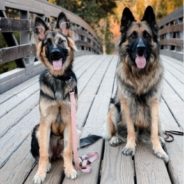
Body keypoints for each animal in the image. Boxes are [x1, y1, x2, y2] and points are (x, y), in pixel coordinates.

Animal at [30, 12, 77, 183]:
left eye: (61, 42)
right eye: (47, 44)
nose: (55, 53)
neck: (58, 79)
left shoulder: (70, 120)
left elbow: (68, 150)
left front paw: (69, 169)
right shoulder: (45, 122)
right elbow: (43, 153)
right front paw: (40, 173)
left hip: (76, 130)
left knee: (65, 152)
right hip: (37, 130)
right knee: (42, 155)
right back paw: (47, 165)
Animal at [106, 5, 168, 162]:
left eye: (146, 35)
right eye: (132, 36)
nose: (141, 49)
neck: (140, 74)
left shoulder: (154, 104)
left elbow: (154, 131)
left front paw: (158, 148)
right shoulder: (127, 104)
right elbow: (130, 130)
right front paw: (130, 146)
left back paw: (161, 138)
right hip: (113, 108)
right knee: (117, 131)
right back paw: (115, 138)